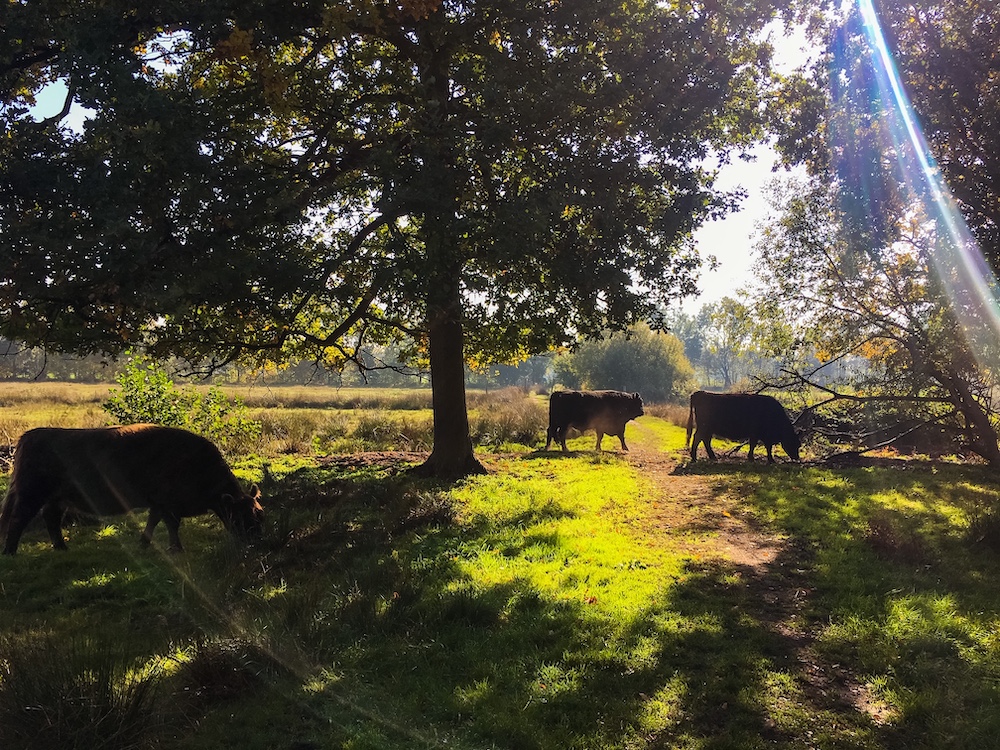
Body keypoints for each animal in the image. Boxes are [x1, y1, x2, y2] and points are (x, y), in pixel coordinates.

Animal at [0, 426, 264, 556]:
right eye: (239, 518)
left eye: (260, 515)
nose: (256, 542)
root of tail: (30, 435)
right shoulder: (167, 503)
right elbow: (171, 525)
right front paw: (176, 549)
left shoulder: (158, 503)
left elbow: (154, 522)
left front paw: (144, 543)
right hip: (31, 493)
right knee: (18, 519)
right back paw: (10, 551)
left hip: (58, 497)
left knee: (51, 518)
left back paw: (61, 547)